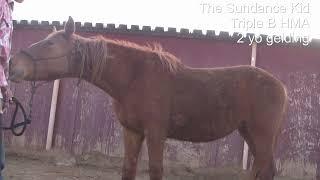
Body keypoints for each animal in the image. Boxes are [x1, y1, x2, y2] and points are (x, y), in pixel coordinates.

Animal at [9, 16, 288, 180]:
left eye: (50, 44)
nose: (12, 63)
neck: (134, 77)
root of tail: (280, 86)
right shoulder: (132, 132)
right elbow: (128, 169)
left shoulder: (155, 132)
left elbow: (155, 169)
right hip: (249, 133)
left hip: (261, 135)